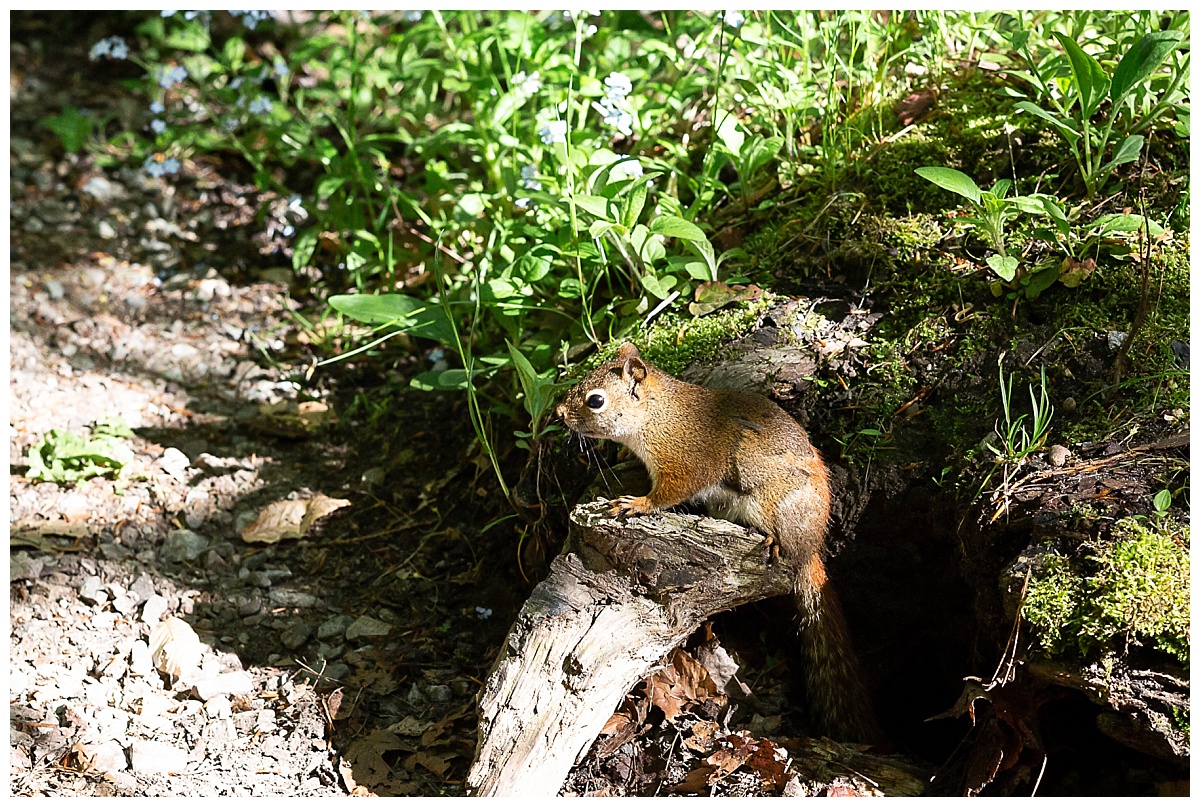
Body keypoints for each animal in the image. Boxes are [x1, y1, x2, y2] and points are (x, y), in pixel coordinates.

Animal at [556, 342, 878, 742]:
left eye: (595, 400)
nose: (559, 413)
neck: (657, 415)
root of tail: (812, 549)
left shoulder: (686, 460)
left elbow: (671, 491)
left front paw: (637, 503)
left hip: (781, 506)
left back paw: (775, 541)